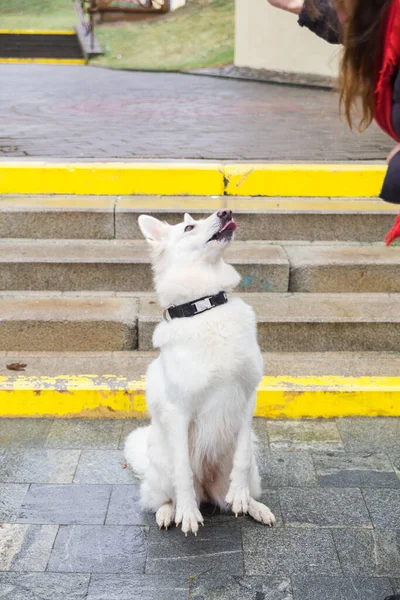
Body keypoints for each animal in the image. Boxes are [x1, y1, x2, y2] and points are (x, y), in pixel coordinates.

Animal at [125, 210, 276, 536]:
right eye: (189, 227)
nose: (225, 212)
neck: (206, 307)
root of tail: (206, 490)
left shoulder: (248, 398)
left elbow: (242, 458)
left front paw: (240, 495)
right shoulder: (179, 411)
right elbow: (183, 472)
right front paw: (188, 514)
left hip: (242, 467)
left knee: (234, 489)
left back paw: (253, 505)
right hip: (162, 466)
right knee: (165, 496)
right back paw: (170, 512)